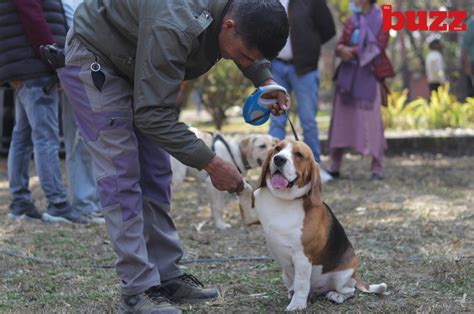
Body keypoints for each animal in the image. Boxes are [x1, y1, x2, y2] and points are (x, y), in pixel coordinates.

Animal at [239, 140, 386, 312]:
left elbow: (302, 284)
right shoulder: (250, 216)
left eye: (299, 155)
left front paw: (296, 305)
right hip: (285, 275)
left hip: (343, 275)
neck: (284, 200)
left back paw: (336, 295)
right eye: (277, 149)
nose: (279, 159)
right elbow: (245, 193)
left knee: (349, 291)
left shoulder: (302, 257)